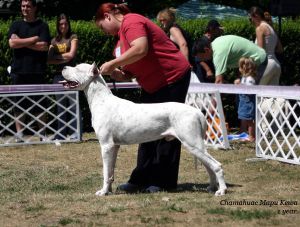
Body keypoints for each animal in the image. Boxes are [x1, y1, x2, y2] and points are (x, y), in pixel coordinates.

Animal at [61, 63, 226, 196]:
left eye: (77, 68)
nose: (63, 67)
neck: (101, 100)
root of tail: (198, 112)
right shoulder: (114, 146)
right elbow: (110, 172)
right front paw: (108, 190)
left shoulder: (106, 145)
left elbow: (105, 171)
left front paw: (102, 192)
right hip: (195, 145)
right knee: (209, 166)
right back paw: (212, 188)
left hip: (192, 143)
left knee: (216, 166)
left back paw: (221, 191)